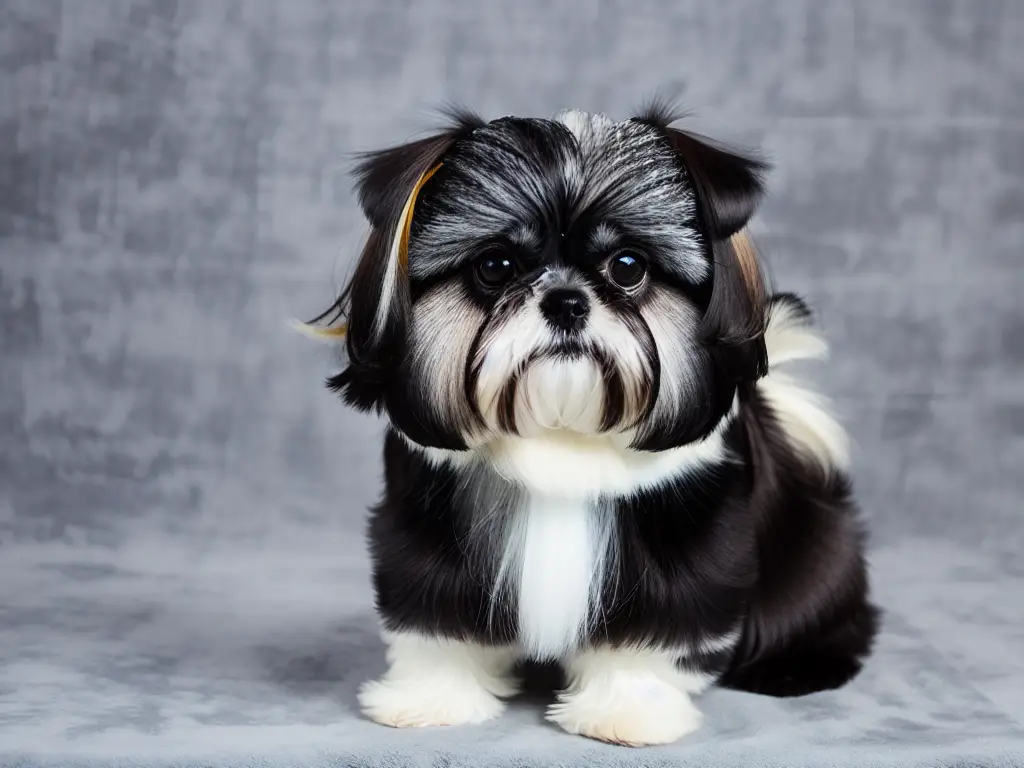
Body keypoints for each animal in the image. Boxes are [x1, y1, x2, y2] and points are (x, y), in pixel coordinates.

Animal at [307, 107, 876, 745]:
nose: (565, 300)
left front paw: (626, 712)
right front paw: (433, 699)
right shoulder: (429, 531)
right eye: (495, 266)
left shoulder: (678, 548)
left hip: (817, 559)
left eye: (627, 266)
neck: (563, 430)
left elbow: (647, 636)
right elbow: (438, 623)